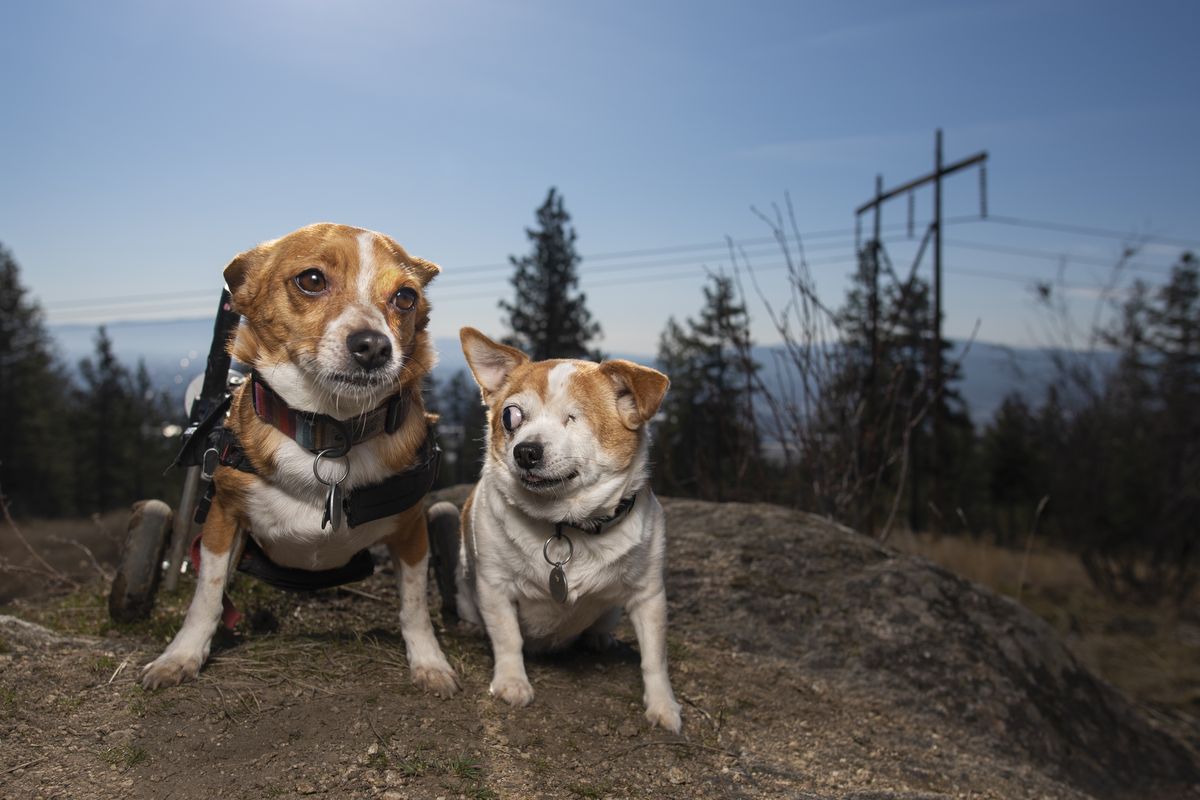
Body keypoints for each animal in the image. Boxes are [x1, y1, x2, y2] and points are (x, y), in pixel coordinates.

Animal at [139, 221, 458, 695]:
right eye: (311, 279)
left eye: (406, 297)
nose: (374, 346)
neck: (329, 432)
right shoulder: (222, 520)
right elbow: (207, 595)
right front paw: (181, 656)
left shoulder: (411, 532)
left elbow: (416, 605)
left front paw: (429, 663)